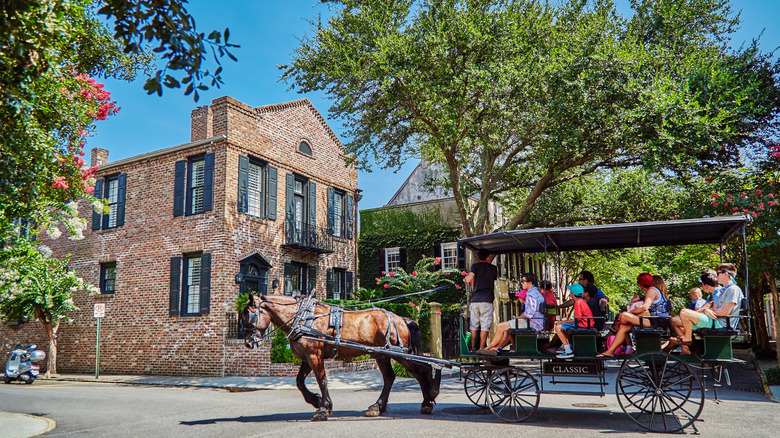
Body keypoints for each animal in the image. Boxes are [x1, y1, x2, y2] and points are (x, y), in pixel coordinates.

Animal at [238, 294, 442, 420]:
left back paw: (427, 401)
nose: (248, 342)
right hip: (382, 354)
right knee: (390, 377)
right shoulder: (306, 357)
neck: (303, 319)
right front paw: (316, 401)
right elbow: (299, 382)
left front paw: (323, 408)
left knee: (421, 370)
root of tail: (402, 319)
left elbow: (322, 380)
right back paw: (378, 407)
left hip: (399, 354)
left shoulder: (314, 355)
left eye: (249, 314)